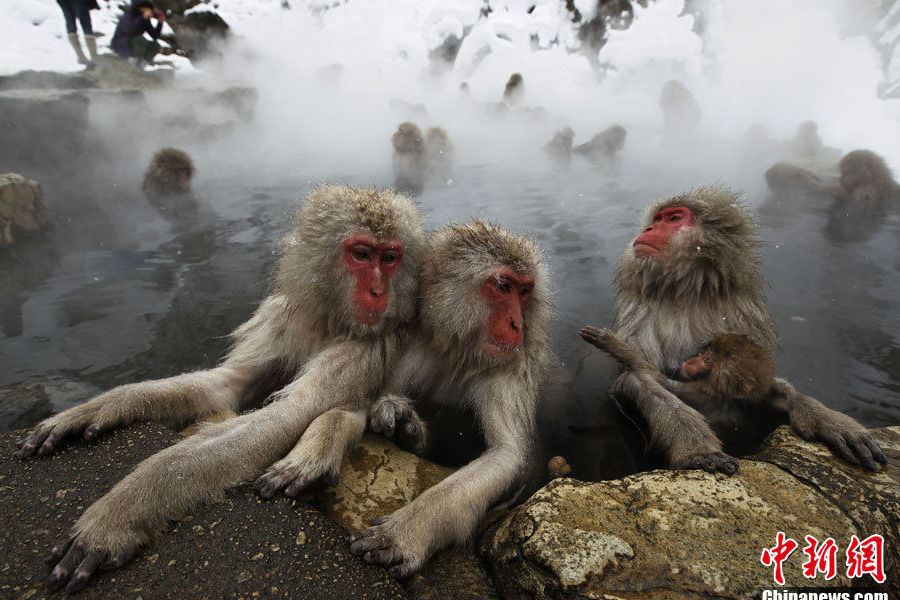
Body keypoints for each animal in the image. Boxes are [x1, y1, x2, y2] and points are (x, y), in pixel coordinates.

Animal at [16, 185, 426, 592]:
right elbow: (226, 385)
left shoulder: (369, 345)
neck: (331, 319)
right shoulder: (284, 321)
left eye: (390, 257)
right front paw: (98, 407)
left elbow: (288, 412)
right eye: (362, 254)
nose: (377, 291)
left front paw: (119, 512)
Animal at [348, 223, 552, 580]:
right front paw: (404, 425)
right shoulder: (415, 345)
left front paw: (409, 529)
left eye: (525, 291)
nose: (517, 324)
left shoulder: (513, 366)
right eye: (504, 287)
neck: (462, 349)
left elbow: (508, 455)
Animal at [580, 326, 776, 406]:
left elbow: (648, 371)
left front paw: (609, 341)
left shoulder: (696, 391)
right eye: (705, 353)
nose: (691, 360)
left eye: (708, 361)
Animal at [604, 185, 884, 476]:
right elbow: (637, 379)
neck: (688, 291)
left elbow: (760, 383)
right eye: (657, 219)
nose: (647, 229)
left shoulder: (741, 311)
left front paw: (826, 418)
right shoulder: (641, 311)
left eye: (673, 218)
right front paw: (698, 449)